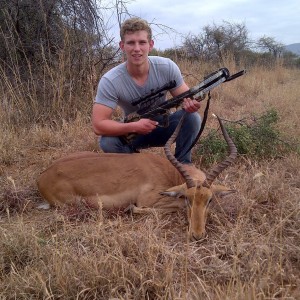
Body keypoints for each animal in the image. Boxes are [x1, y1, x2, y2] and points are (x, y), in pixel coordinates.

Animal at [37, 115, 237, 241]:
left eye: (209, 200)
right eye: (188, 199)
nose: (197, 235)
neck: (168, 172)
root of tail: (43, 177)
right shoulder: (149, 200)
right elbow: (171, 206)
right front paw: (130, 209)